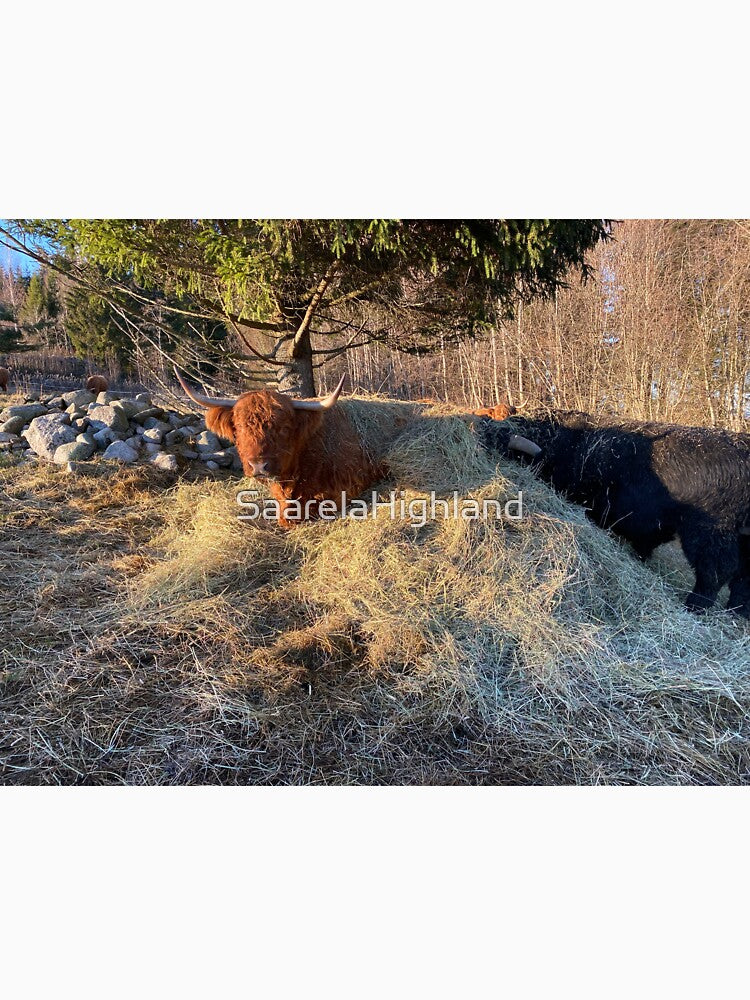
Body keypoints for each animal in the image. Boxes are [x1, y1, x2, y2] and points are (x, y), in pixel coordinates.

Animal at [477, 410, 750, 618]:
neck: (564, 445)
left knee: (717, 571)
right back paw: (737, 612)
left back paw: (695, 607)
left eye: (499, 444)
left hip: (708, 532)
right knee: (742, 579)